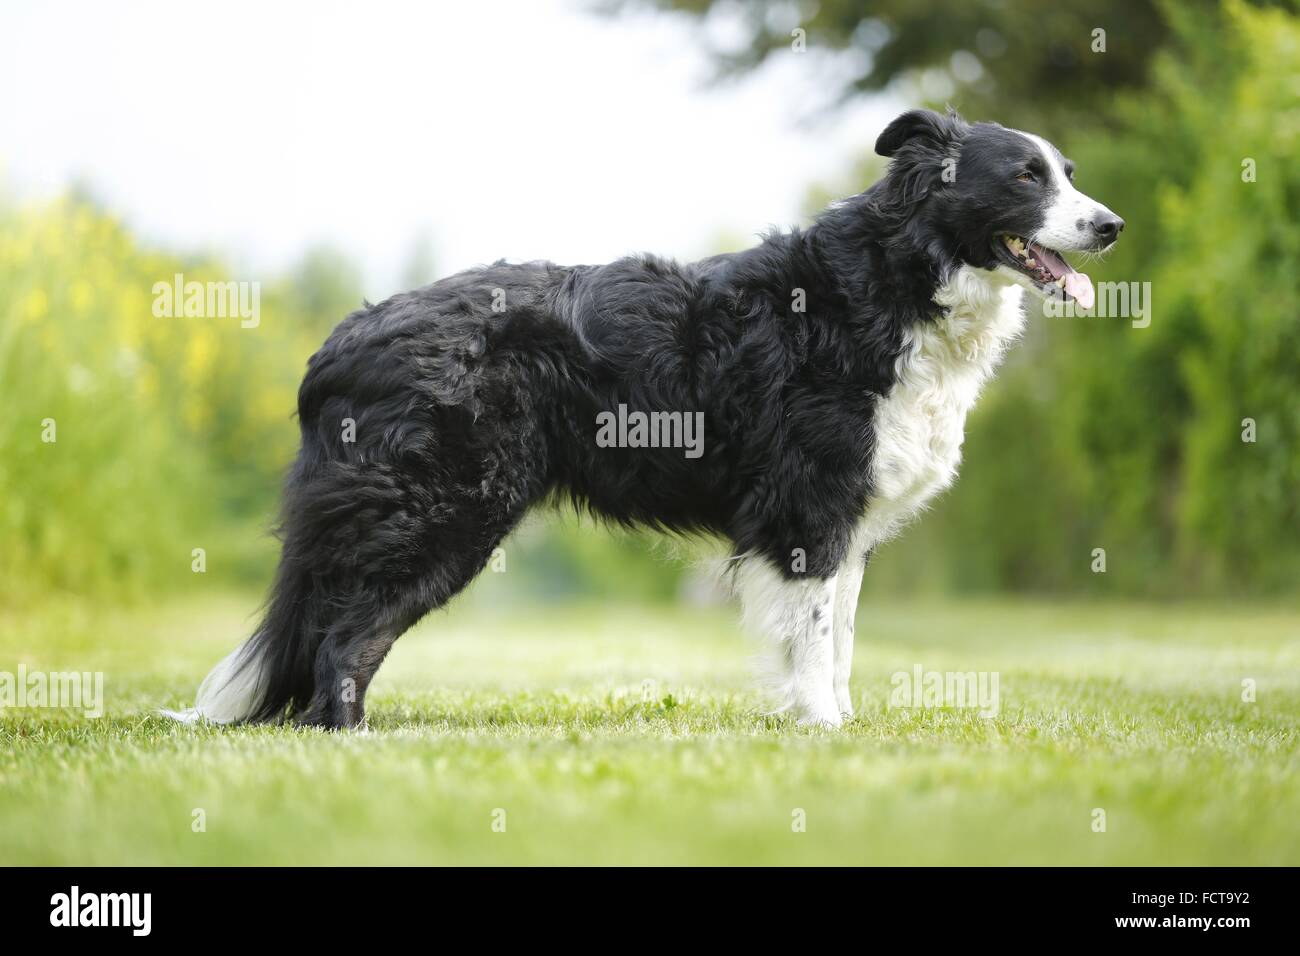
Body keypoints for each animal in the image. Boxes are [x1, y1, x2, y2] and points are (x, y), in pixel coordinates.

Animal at [172, 108, 1123, 728]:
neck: (898, 280)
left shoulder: (846, 524)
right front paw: (824, 731)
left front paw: (841, 729)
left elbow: (842, 636)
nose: (1111, 224)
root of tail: (337, 341)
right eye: (1026, 177)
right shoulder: (809, 510)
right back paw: (348, 739)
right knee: (346, 637)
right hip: (442, 512)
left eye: (1071, 174)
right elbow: (816, 639)